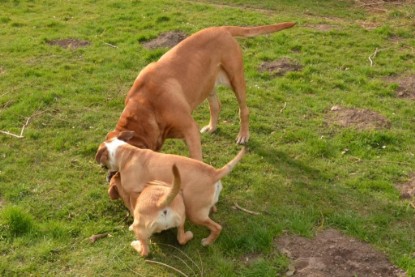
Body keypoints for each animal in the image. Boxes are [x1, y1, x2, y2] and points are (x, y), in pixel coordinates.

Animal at [96, 130, 245, 245]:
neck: (125, 152)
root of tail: (214, 173)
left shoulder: (133, 193)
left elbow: (133, 207)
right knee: (212, 211)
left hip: (194, 212)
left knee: (216, 227)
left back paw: (207, 241)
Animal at [105, 21, 298, 160]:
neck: (146, 104)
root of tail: (222, 29)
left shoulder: (190, 130)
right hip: (207, 83)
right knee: (216, 105)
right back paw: (212, 127)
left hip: (235, 79)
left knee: (244, 110)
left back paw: (243, 135)